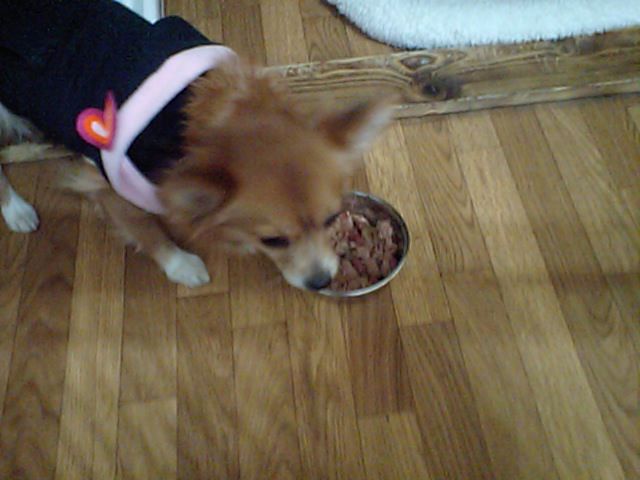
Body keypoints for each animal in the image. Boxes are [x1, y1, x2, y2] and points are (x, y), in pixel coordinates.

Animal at [0, 0, 393, 290]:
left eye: (332, 219)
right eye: (272, 241)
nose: (321, 281)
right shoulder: (109, 187)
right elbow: (148, 232)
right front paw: (181, 265)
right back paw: (16, 210)